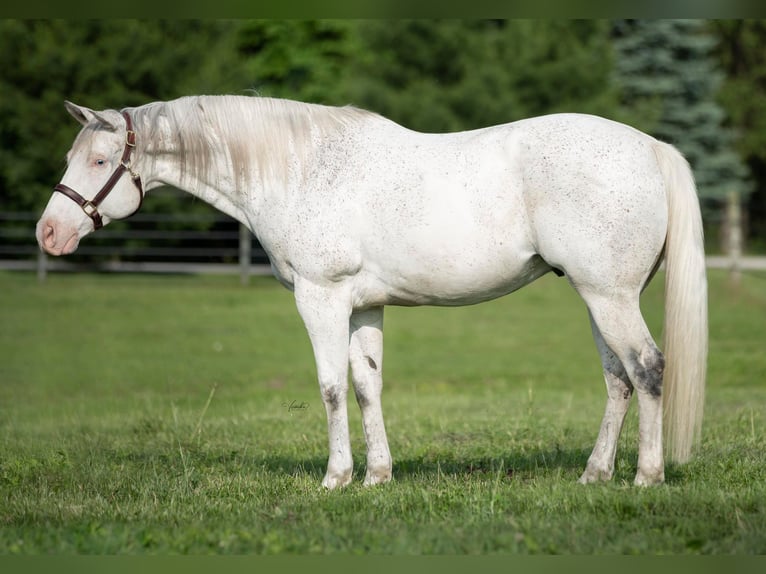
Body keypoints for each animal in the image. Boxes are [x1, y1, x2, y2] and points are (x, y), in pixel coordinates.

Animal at [36, 95, 707, 489]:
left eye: (99, 161)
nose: (49, 233)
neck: (300, 168)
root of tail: (650, 148)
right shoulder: (364, 307)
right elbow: (366, 387)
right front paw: (377, 477)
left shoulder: (321, 298)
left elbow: (331, 387)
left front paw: (335, 479)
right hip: (601, 298)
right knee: (619, 379)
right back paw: (595, 475)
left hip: (609, 296)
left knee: (648, 368)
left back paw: (647, 477)